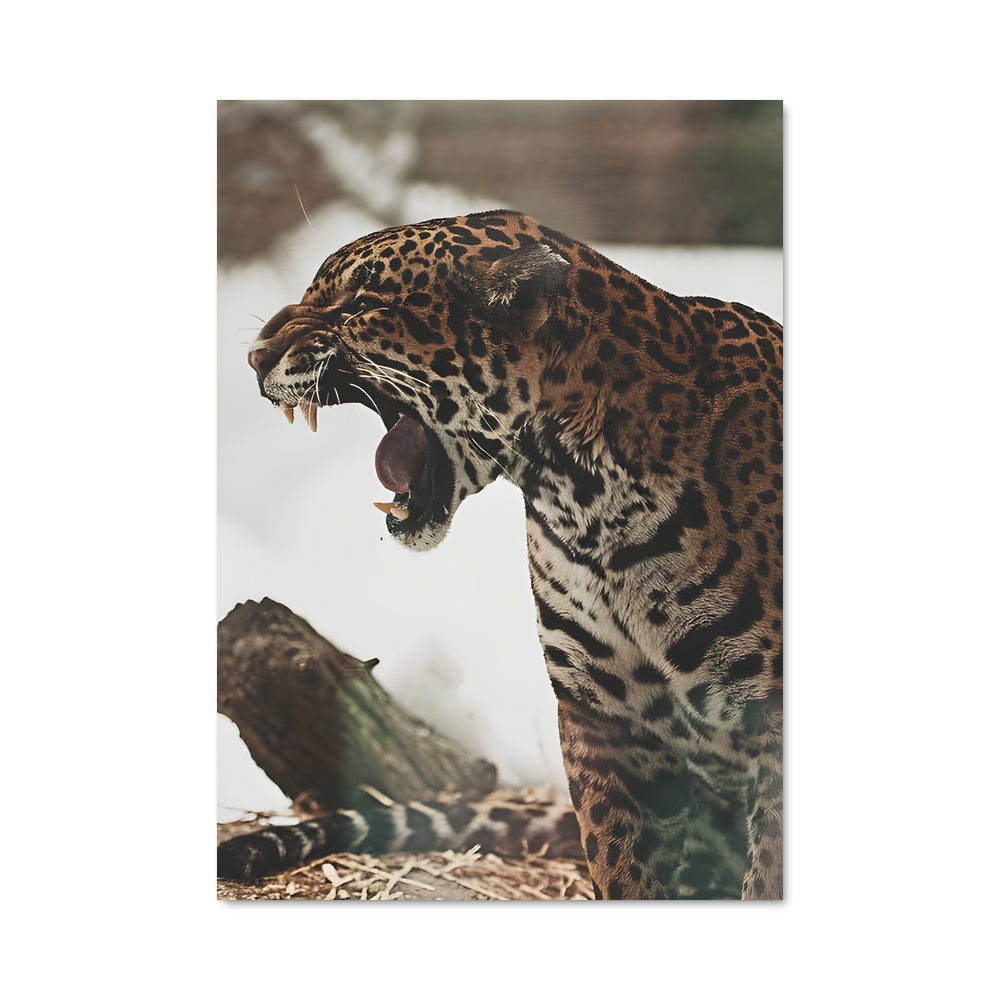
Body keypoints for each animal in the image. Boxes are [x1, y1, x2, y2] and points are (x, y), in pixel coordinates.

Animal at [239, 209, 783, 900]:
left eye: (360, 304)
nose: (254, 357)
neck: (587, 499)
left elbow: (769, 871)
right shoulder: (598, 717)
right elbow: (620, 865)